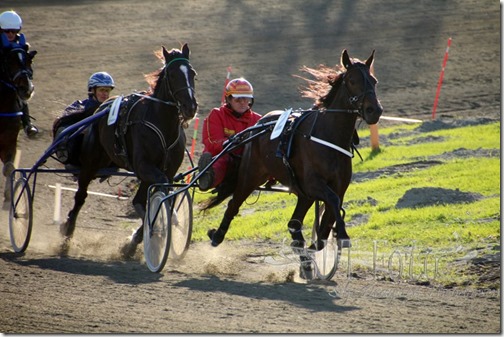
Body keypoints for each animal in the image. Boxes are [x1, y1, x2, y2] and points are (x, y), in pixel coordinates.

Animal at [60, 44, 198, 255]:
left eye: (192, 73)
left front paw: (136, 240)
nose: (190, 107)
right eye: (173, 75)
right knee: (80, 196)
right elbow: (158, 193)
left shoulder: (165, 169)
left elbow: (157, 195)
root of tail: (101, 107)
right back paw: (67, 233)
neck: (163, 124)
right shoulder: (144, 166)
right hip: (90, 164)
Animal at [204, 48, 382, 255]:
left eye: (374, 80)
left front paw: (323, 240)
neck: (328, 136)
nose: (374, 110)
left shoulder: (337, 185)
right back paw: (217, 235)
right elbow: (333, 201)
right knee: (233, 205)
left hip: (300, 191)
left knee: (293, 223)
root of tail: (258, 125)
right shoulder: (313, 183)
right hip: (250, 175)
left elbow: (330, 213)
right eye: (352, 80)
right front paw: (342, 235)